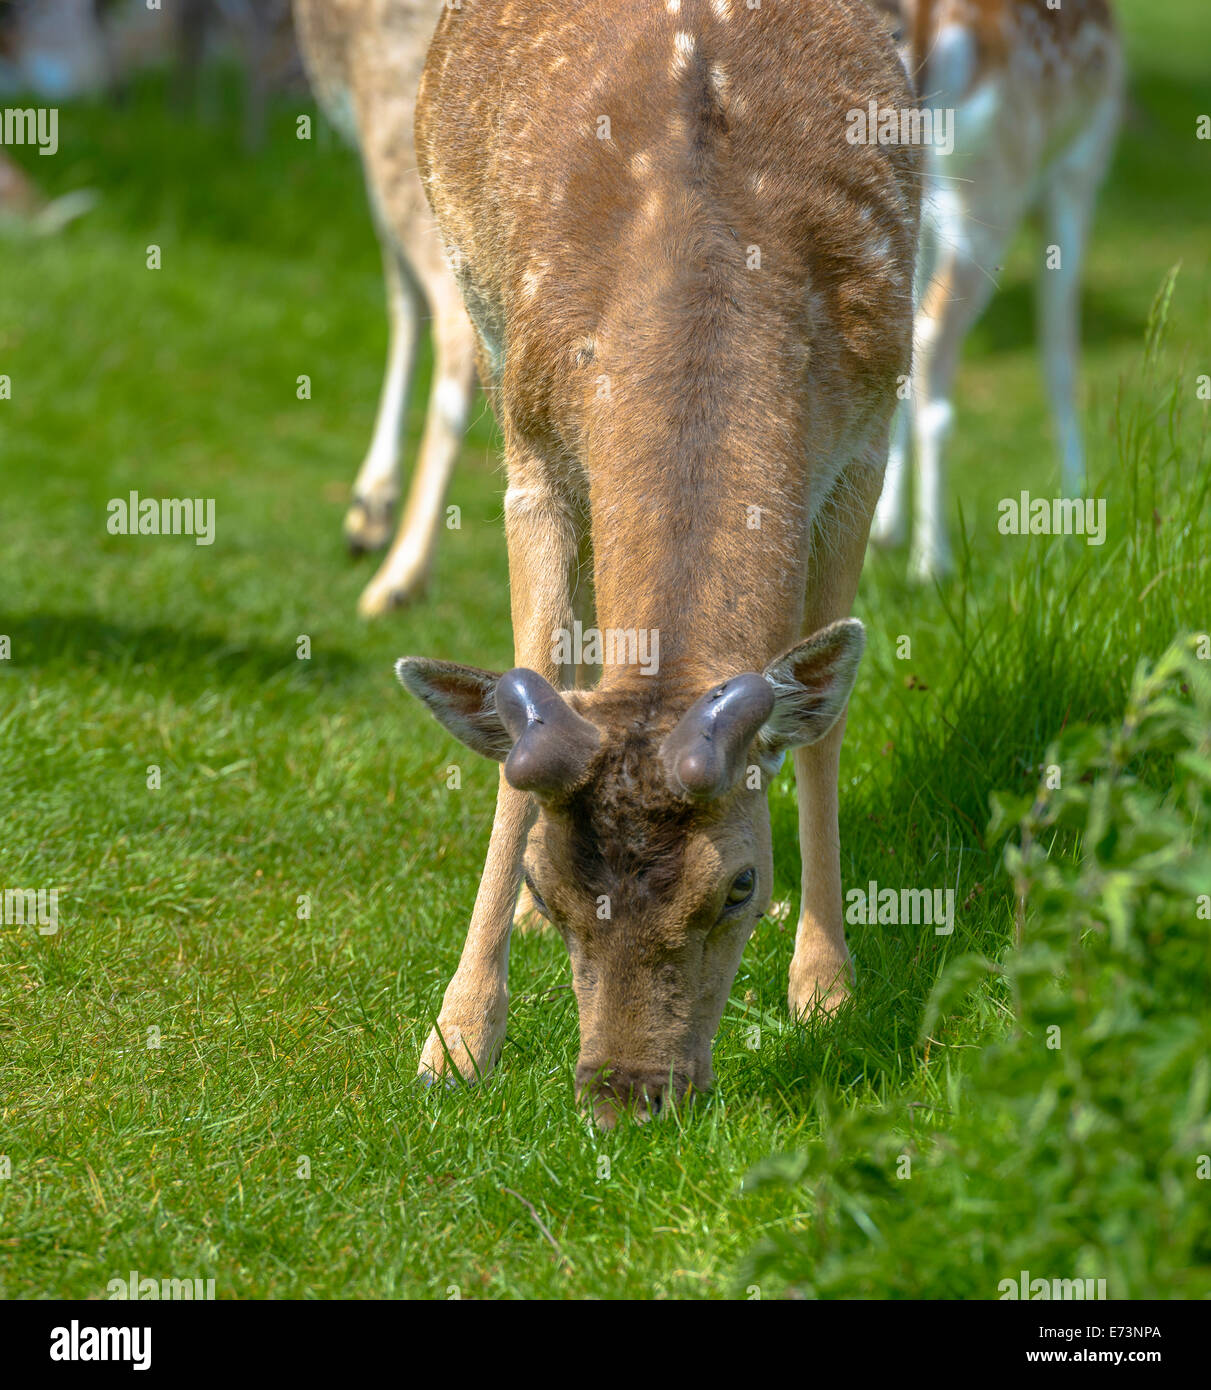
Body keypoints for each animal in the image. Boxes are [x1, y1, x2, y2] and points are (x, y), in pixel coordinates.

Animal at [394, 0, 917, 1128]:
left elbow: (823, 727)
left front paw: (825, 984)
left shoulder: (866, 438)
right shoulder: (533, 444)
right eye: (548, 887)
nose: (626, 1098)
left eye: (738, 885)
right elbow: (527, 687)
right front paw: (456, 1039)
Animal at [867, 0, 1123, 575]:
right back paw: (932, 560)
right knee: (934, 339)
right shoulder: (1078, 171)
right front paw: (1078, 502)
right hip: (992, 193)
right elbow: (1060, 355)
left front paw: (886, 523)